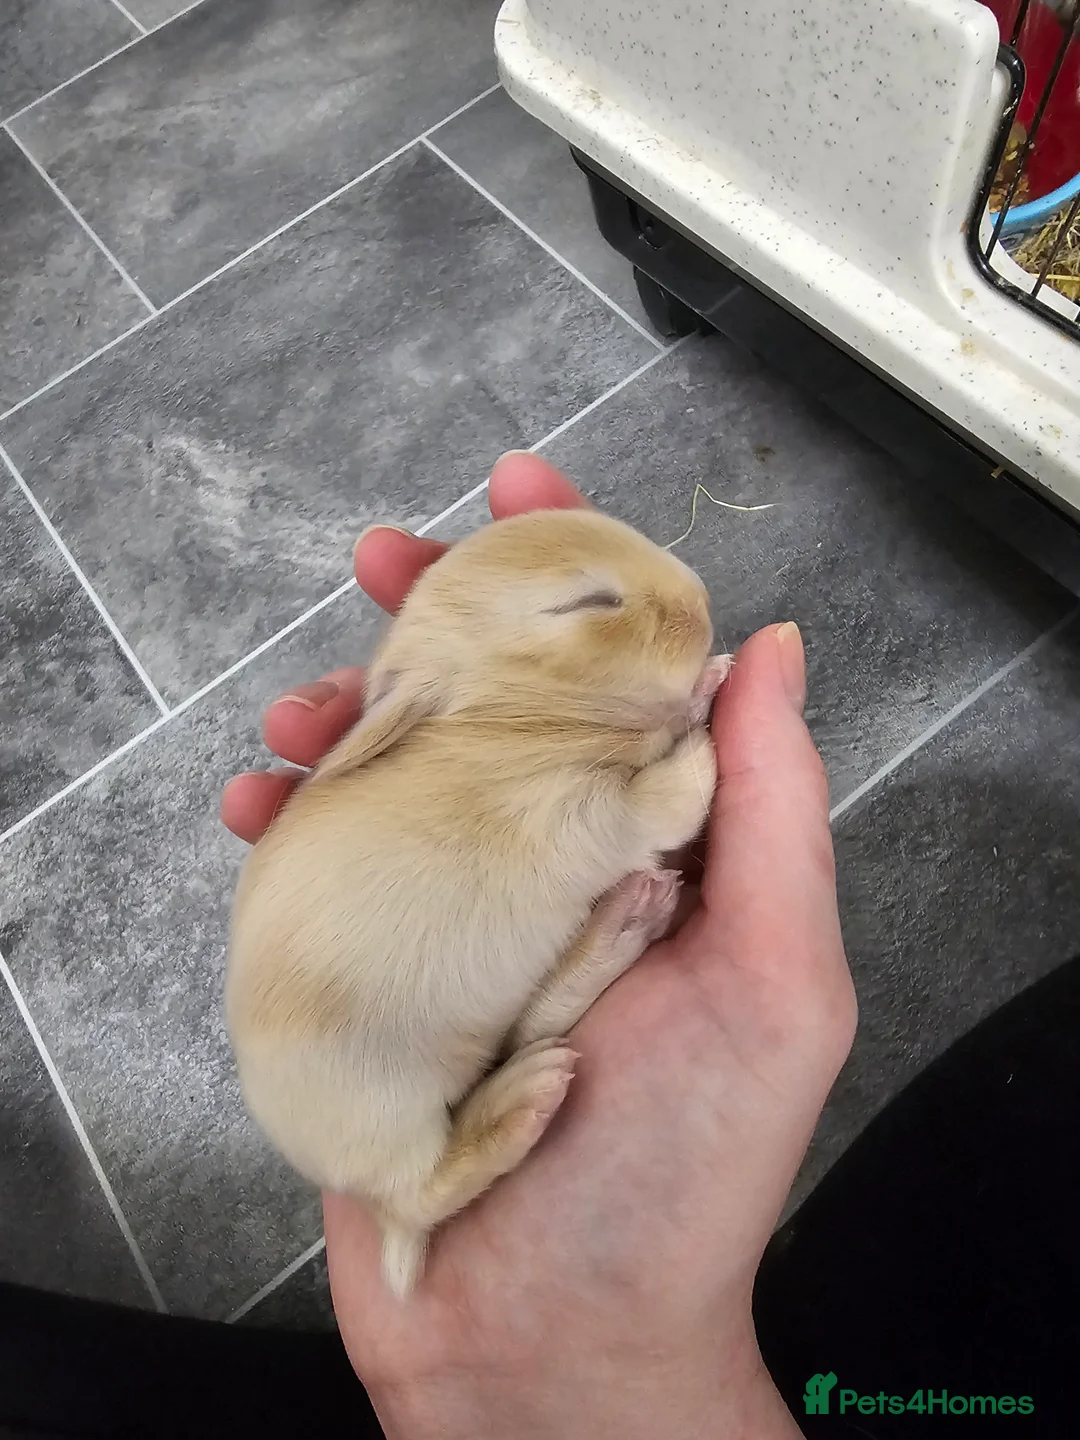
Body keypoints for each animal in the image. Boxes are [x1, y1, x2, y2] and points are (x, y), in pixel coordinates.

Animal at [226, 507, 731, 1297]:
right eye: (589, 604)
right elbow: (668, 801)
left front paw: (708, 682)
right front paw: (706, 713)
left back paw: (624, 924)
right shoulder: (583, 816)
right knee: (424, 1189)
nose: (701, 604)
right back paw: (526, 1100)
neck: (507, 724)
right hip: (386, 1109)